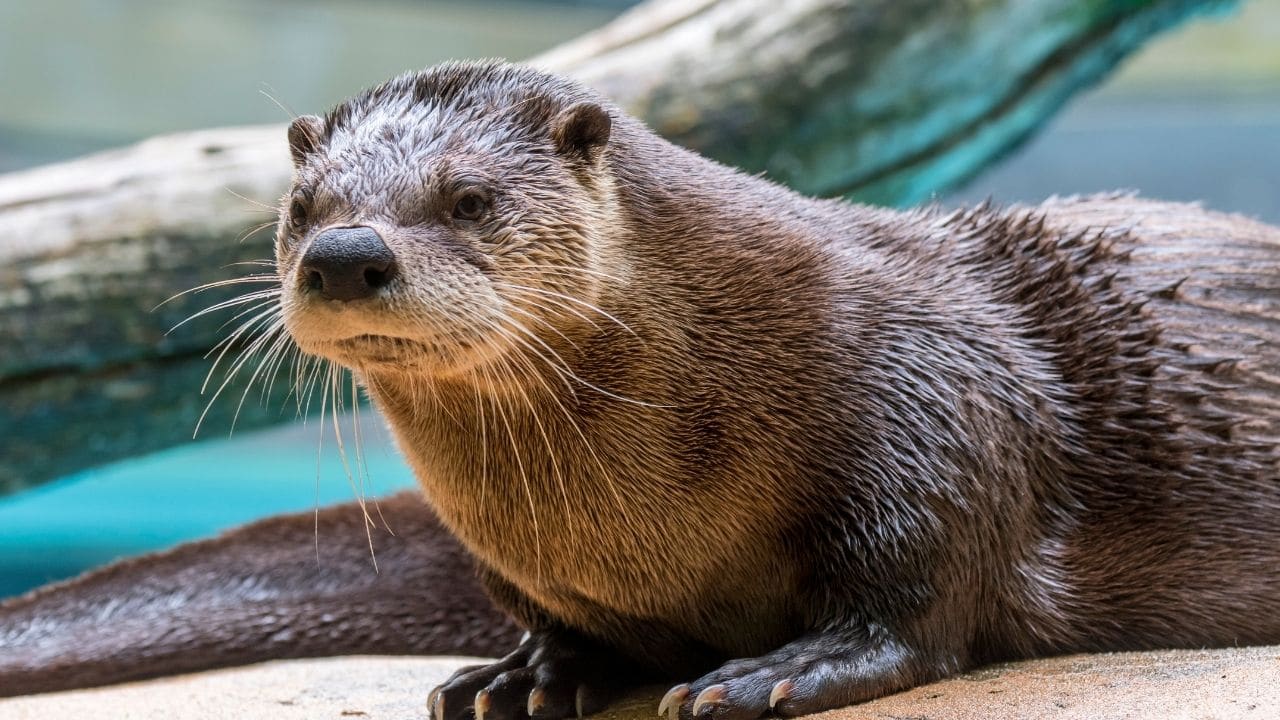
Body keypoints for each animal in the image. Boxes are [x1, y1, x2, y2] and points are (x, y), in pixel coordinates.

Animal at [2, 60, 1280, 712]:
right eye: (302, 207)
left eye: (468, 198)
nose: (345, 254)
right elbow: (559, 625)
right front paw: (526, 677)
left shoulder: (929, 404)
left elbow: (920, 592)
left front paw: (780, 670)